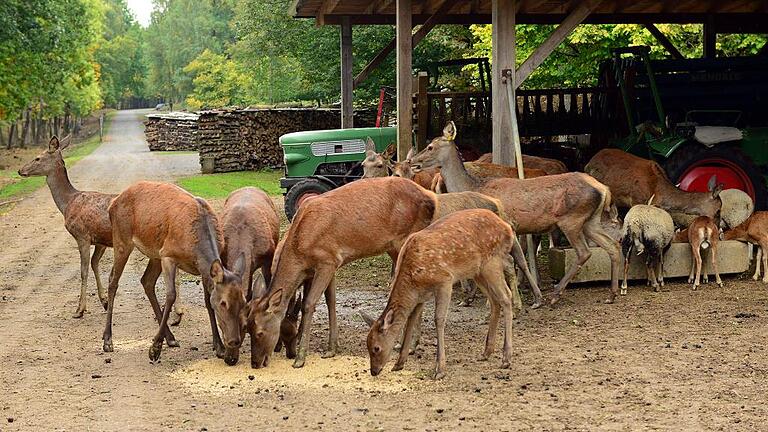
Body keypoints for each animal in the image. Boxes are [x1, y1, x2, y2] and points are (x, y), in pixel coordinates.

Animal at [102, 181, 246, 366]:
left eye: (244, 302)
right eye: (223, 303)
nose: (234, 341)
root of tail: (113, 202)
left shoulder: (201, 270)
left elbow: (207, 302)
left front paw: (219, 347)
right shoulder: (168, 255)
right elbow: (171, 295)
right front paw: (154, 349)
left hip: (154, 252)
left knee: (146, 281)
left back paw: (170, 338)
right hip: (121, 239)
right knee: (113, 280)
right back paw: (107, 340)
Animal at [246, 177, 438, 370]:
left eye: (260, 332)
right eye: (248, 328)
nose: (255, 363)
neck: (300, 249)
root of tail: (431, 197)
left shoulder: (326, 259)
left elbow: (309, 303)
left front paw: (300, 359)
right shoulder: (331, 264)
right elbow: (331, 301)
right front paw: (331, 349)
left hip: (405, 239)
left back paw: (411, 345)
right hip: (392, 247)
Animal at [364, 209, 520, 378]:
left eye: (376, 348)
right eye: (367, 346)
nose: (374, 371)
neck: (413, 280)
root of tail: (507, 227)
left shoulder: (444, 281)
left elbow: (438, 319)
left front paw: (439, 369)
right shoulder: (420, 296)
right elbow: (411, 320)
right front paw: (399, 363)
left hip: (492, 262)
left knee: (505, 297)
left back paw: (506, 358)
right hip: (477, 271)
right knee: (494, 300)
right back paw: (486, 352)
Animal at [412, 121, 620, 304]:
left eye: (430, 147)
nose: (413, 162)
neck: (475, 187)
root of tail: (603, 189)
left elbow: (511, 261)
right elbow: (518, 260)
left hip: (572, 220)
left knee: (584, 252)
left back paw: (556, 294)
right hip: (591, 221)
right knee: (612, 246)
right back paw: (612, 294)